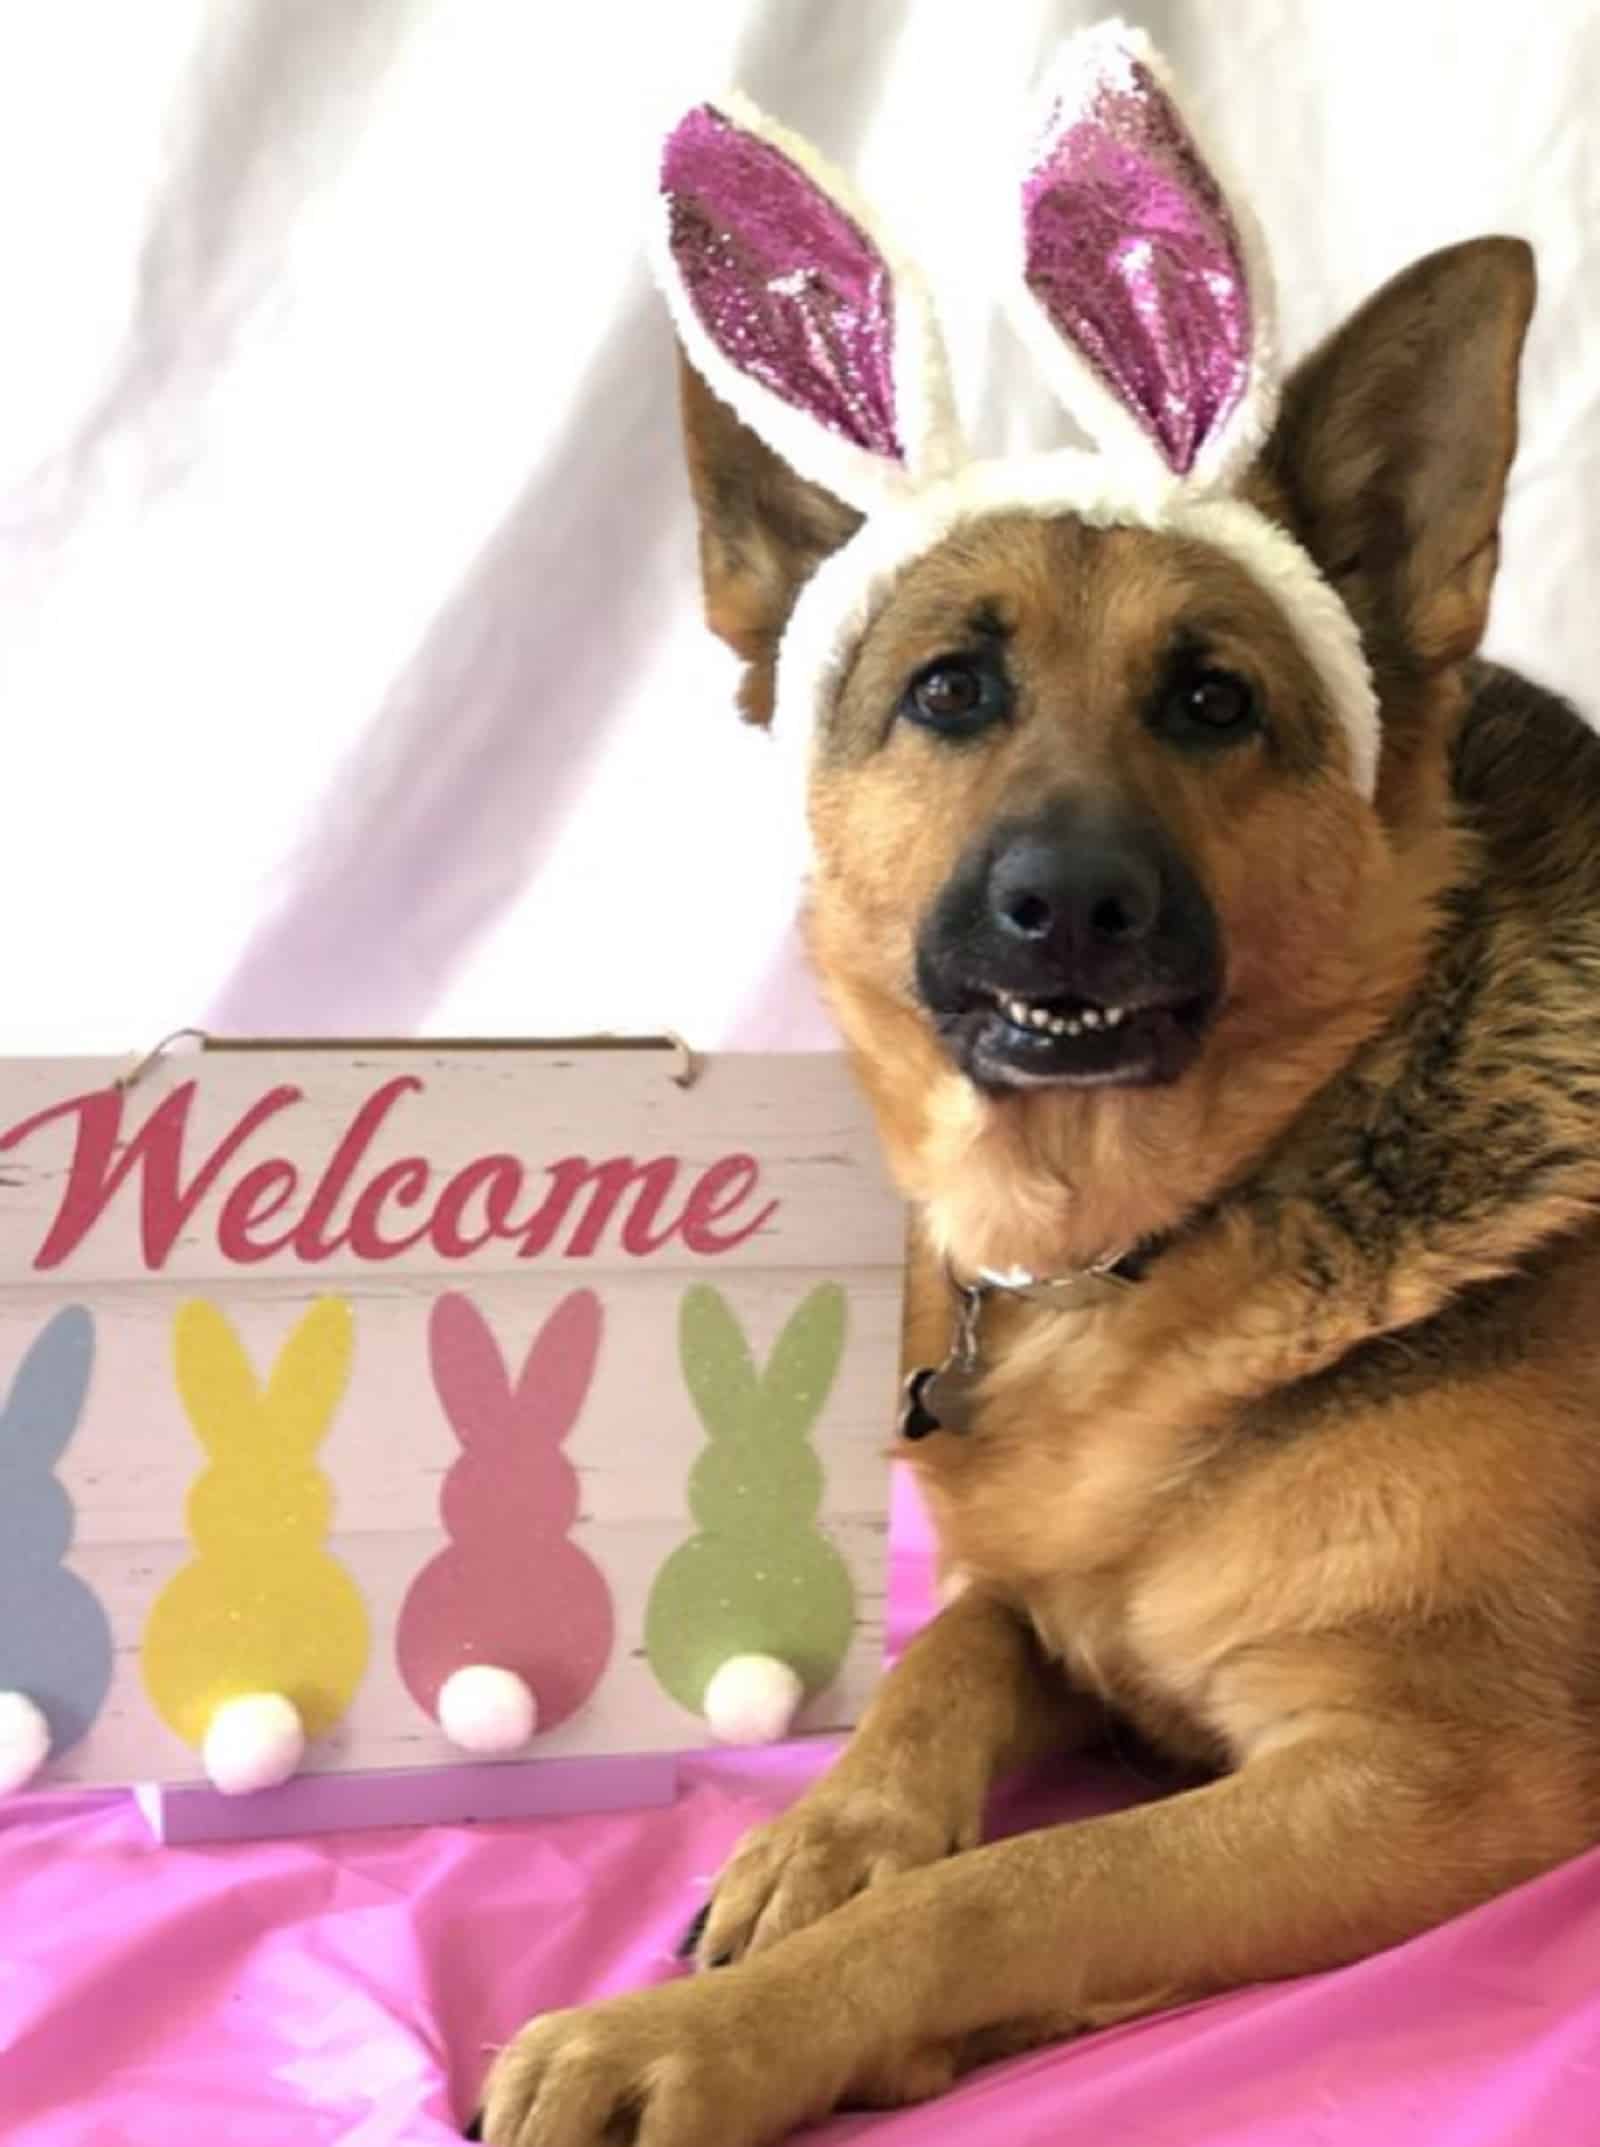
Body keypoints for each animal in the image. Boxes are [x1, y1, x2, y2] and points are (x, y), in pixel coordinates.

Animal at [481, 138, 1597, 2147]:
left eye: (1215, 699)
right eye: (951, 690)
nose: (1067, 903)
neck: (1155, 1230)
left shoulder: (1427, 1774)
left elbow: (1006, 1891)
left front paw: (692, 2035)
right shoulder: (1056, 1604)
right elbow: (951, 1646)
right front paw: (829, 1833)